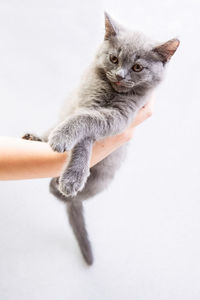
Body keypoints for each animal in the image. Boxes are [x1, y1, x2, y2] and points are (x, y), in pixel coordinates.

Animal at [23, 12, 180, 264]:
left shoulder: (120, 117)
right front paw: (65, 151)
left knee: (69, 197)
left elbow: (87, 123)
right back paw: (35, 139)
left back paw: (58, 185)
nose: (120, 75)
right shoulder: (87, 99)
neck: (112, 92)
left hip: (102, 179)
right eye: (114, 59)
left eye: (137, 67)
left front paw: (72, 176)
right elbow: (84, 123)